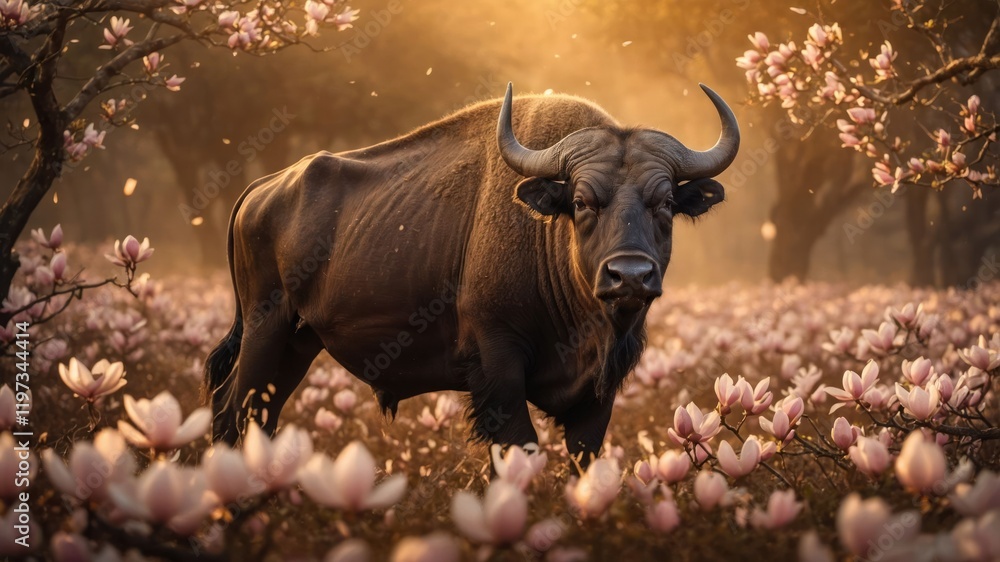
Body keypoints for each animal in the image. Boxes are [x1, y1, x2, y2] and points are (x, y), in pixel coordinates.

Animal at [206, 83, 739, 467]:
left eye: (665, 202)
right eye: (582, 201)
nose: (629, 276)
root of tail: (262, 189)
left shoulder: (596, 397)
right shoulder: (497, 367)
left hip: (299, 343)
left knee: (258, 415)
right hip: (266, 329)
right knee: (233, 409)